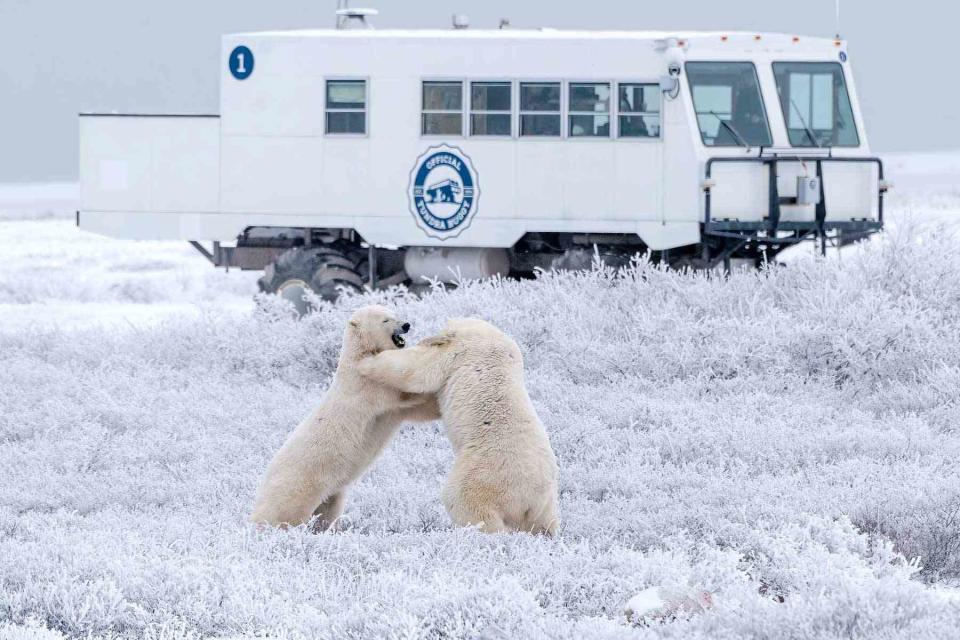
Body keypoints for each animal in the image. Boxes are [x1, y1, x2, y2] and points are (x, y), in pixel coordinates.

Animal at [249, 304, 440, 528]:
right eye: (385, 320)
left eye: (395, 314)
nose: (406, 325)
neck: (358, 358)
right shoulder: (368, 385)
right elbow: (403, 393)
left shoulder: (391, 410)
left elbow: (418, 411)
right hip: (298, 486)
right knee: (288, 515)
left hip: (331, 494)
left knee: (327, 514)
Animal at [358, 318, 556, 536]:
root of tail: (529, 499)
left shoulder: (460, 350)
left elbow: (418, 370)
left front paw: (366, 362)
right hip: (546, 503)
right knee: (544, 523)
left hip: (486, 472)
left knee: (464, 501)